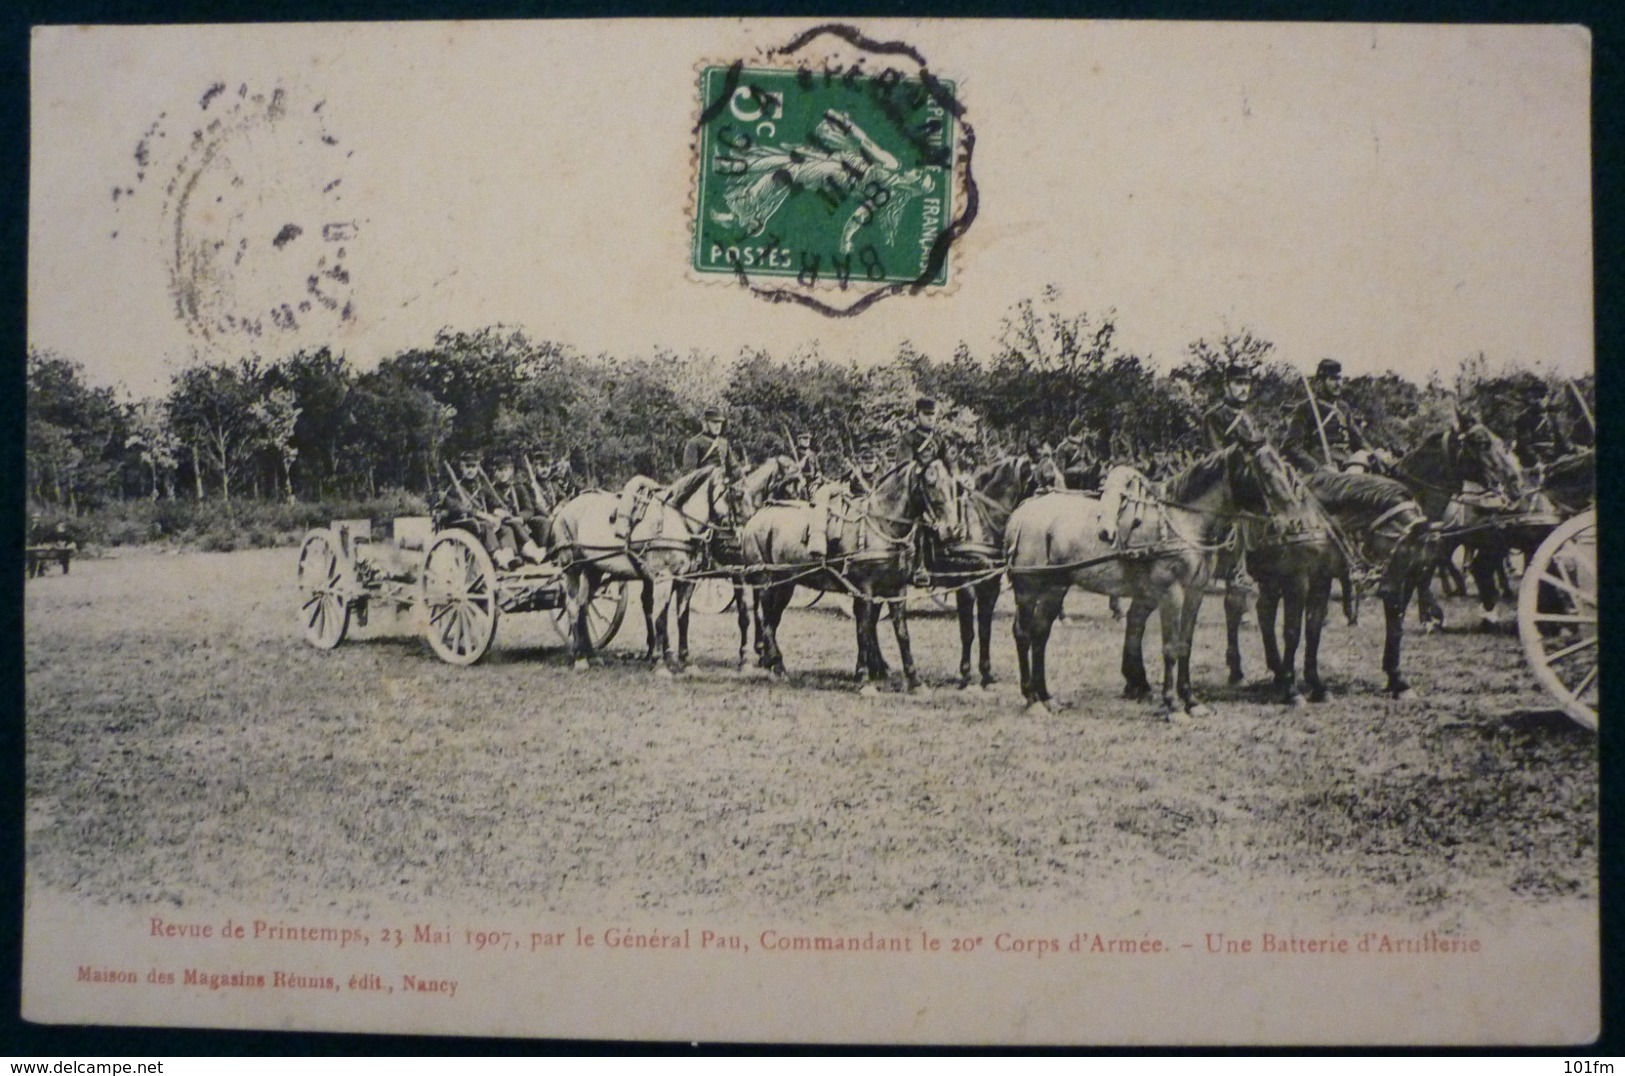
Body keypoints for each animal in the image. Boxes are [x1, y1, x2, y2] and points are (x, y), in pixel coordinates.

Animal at [552, 464, 731, 676]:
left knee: (583, 606)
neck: (677, 522)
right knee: (572, 607)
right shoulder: (663, 579)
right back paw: (579, 658)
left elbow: (683, 620)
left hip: (594, 568)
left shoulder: (687, 580)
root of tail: (564, 509)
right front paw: (660, 663)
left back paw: (592, 656)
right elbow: (661, 620)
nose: (735, 529)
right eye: (730, 492)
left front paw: (686, 662)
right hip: (572, 568)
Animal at [741, 458, 955, 695]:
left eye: (951, 483)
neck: (881, 526)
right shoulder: (864, 590)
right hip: (766, 582)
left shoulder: (896, 589)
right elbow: (863, 630)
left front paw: (914, 681)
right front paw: (864, 679)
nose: (950, 528)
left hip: (785, 585)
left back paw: (774, 665)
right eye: (930, 483)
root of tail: (756, 518)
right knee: (765, 621)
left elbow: (901, 634)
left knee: (771, 621)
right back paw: (775, 666)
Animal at [1001, 438, 1293, 715]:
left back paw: (1046, 697)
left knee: (1040, 634)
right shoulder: (1170, 592)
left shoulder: (1195, 590)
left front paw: (1190, 700)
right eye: (1265, 471)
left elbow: (1185, 644)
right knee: (1023, 633)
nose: (1289, 520)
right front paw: (1172, 704)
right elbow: (1170, 646)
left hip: (1055, 587)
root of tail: (1022, 511)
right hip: (1028, 589)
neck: (1182, 521)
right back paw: (1031, 699)